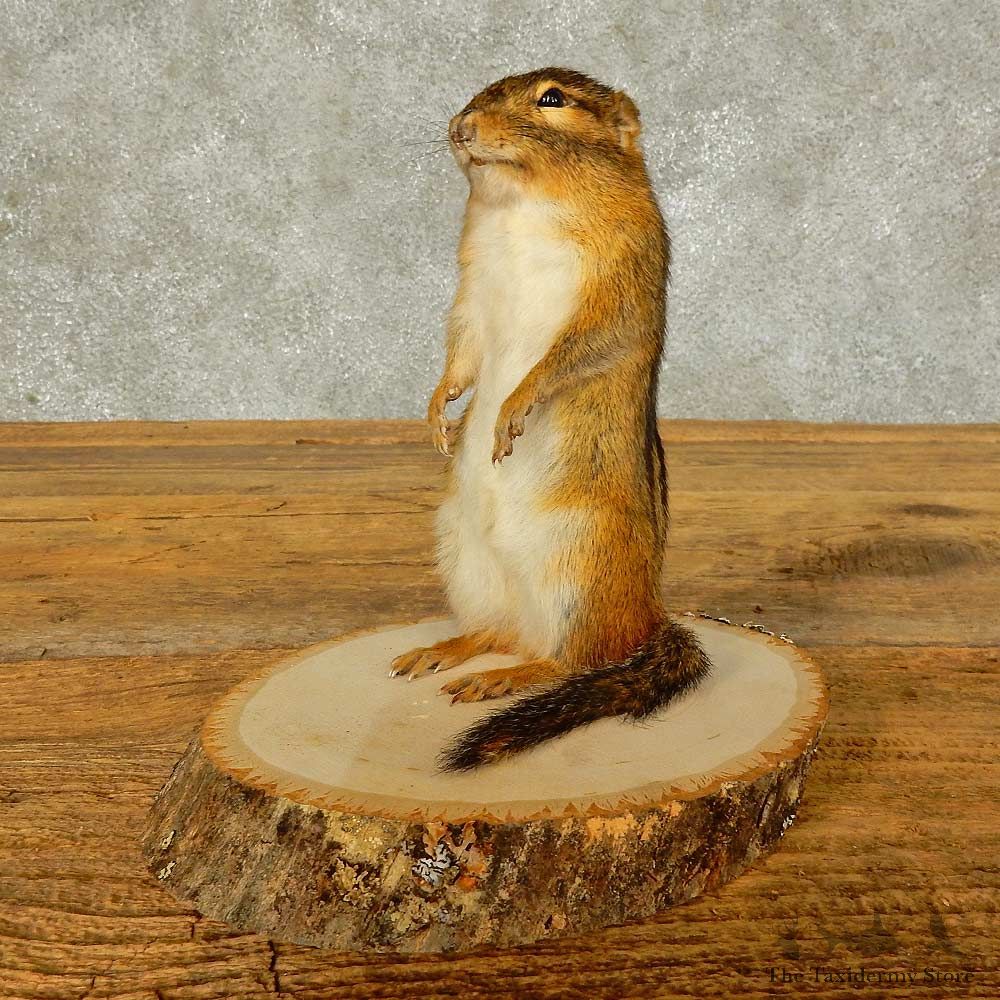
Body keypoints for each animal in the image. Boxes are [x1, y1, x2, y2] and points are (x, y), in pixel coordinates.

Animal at [390, 68, 711, 771]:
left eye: (552, 98)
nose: (461, 127)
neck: (522, 206)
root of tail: (652, 615)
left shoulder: (615, 289)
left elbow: (572, 354)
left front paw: (510, 413)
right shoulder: (471, 291)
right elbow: (462, 352)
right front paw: (439, 414)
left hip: (577, 573)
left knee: (571, 660)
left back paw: (505, 678)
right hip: (464, 558)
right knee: (500, 632)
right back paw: (445, 653)